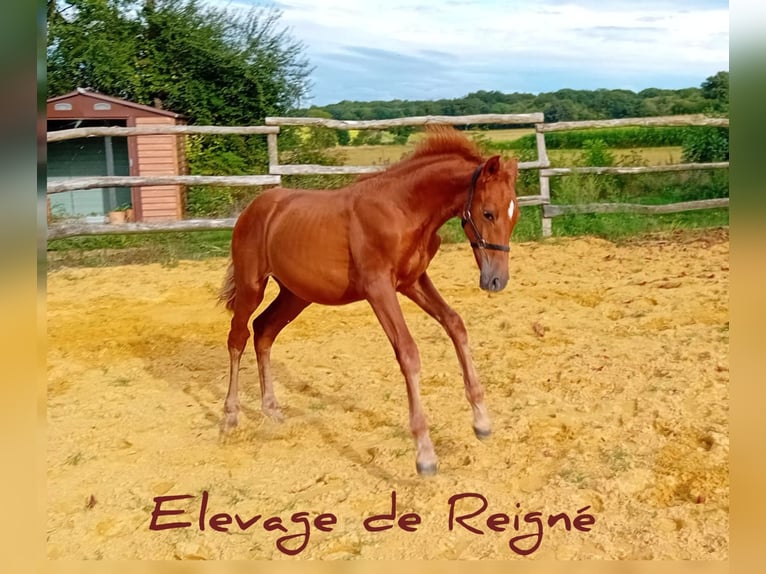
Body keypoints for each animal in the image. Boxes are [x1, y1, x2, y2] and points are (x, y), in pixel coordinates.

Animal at [220, 127, 520, 476]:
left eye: (515, 215)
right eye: (488, 213)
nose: (496, 281)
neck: (403, 209)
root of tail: (255, 207)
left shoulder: (412, 282)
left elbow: (455, 324)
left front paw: (482, 422)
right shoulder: (379, 289)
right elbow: (408, 352)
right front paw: (425, 455)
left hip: (296, 295)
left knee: (264, 331)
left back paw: (272, 410)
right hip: (251, 285)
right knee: (238, 337)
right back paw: (230, 416)